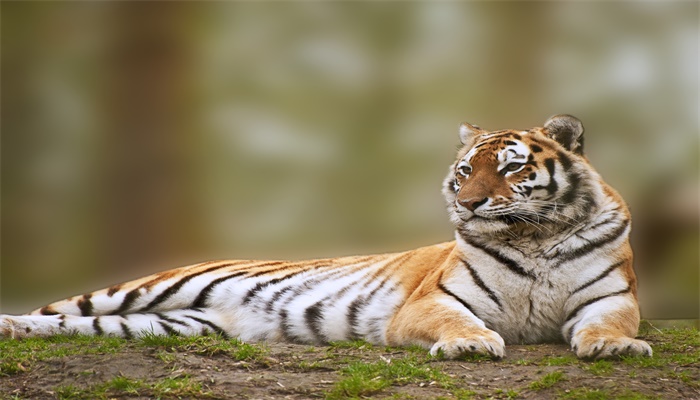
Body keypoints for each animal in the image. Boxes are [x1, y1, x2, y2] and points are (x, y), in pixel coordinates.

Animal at [0, 115, 652, 360]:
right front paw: (471, 344)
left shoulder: (609, 298)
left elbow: (608, 324)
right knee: (58, 309)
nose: (467, 203)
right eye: (466, 170)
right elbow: (459, 320)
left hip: (167, 323)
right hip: (138, 292)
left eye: (512, 169)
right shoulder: (433, 302)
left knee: (71, 327)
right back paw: (10, 323)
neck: (533, 238)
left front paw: (616, 347)